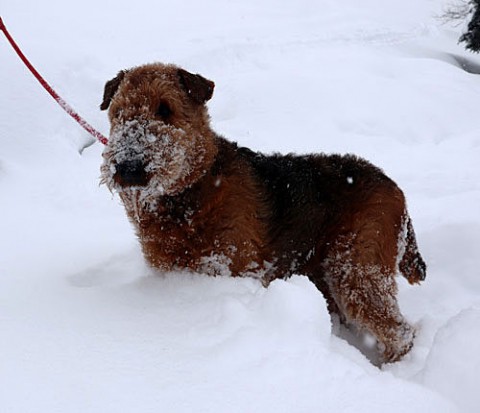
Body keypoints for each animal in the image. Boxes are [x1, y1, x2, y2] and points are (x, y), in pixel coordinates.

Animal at [99, 62, 426, 362]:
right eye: (118, 112)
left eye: (165, 109)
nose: (128, 167)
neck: (194, 189)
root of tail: (395, 188)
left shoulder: (233, 266)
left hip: (356, 269)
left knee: (400, 332)